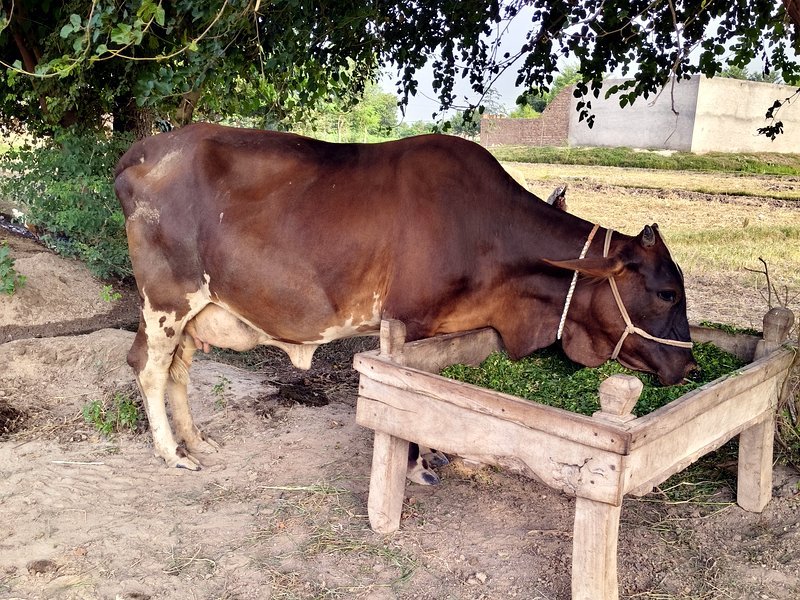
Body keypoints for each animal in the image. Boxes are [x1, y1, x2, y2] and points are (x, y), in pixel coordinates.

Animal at [114, 122, 695, 472]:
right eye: (667, 292)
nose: (689, 365)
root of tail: (146, 149)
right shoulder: (408, 322)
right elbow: (412, 397)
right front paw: (415, 463)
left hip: (197, 312)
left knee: (178, 373)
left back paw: (196, 441)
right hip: (166, 302)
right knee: (148, 367)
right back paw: (171, 453)